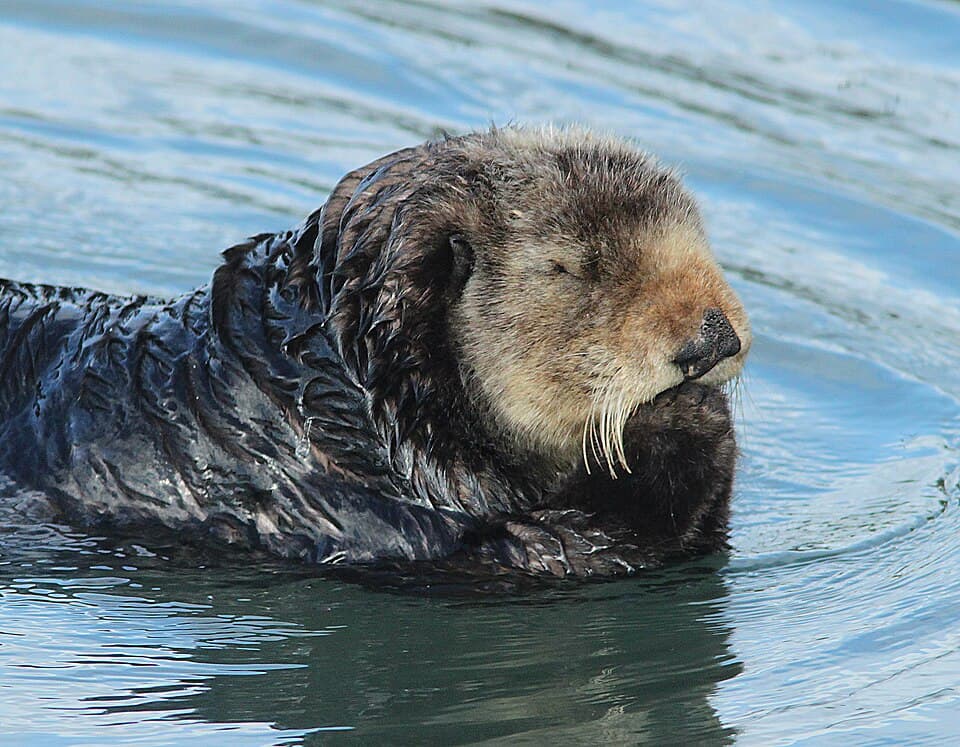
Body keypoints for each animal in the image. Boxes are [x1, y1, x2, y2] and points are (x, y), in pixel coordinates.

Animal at [0, 128, 750, 577]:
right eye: (567, 268)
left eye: (696, 227)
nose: (713, 336)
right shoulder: (352, 515)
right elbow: (548, 547)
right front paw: (686, 419)